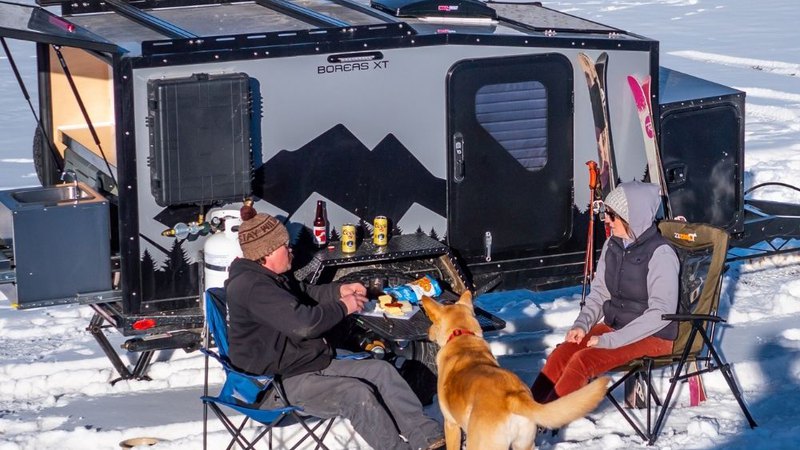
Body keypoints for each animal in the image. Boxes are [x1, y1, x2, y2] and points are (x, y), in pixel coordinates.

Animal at [424, 292, 608, 450]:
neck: (462, 336)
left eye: (432, 322)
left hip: (481, 444)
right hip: (524, 444)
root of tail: (513, 398)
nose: (427, 332)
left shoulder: (451, 425)